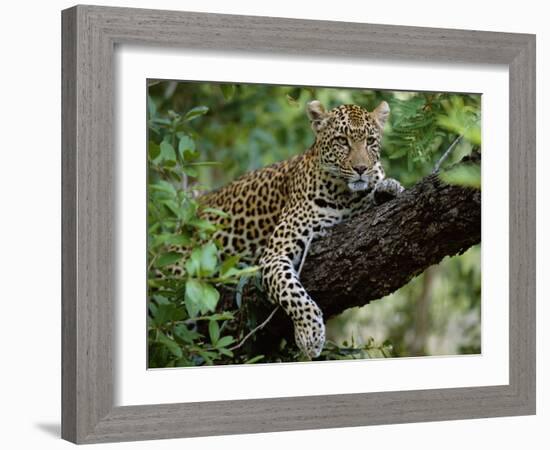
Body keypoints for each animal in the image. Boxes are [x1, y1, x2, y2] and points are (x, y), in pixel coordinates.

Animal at [168, 101, 406, 358]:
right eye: (342, 141)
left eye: (370, 141)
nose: (361, 168)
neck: (346, 196)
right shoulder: (275, 254)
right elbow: (293, 293)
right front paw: (310, 335)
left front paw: (388, 188)